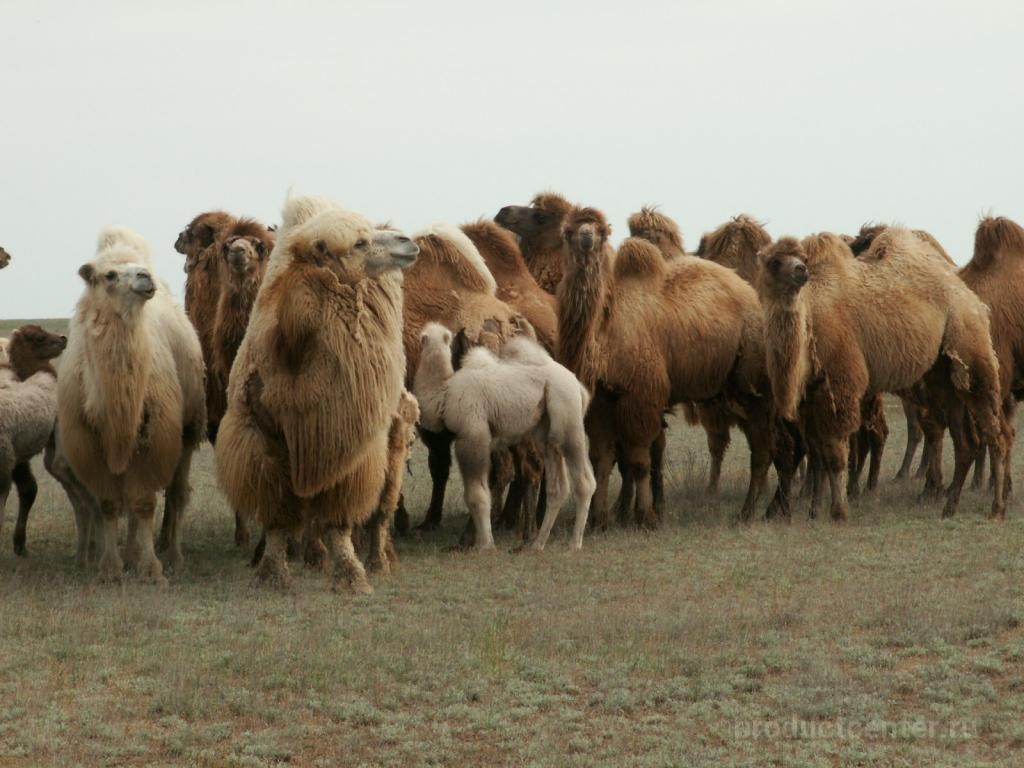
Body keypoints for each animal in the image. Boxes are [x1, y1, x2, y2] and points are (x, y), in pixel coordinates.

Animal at [58, 228, 206, 581]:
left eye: (140, 269)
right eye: (109, 275)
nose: (144, 277)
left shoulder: (157, 437)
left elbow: (144, 504)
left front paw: (151, 568)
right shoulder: (88, 444)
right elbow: (109, 505)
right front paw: (110, 567)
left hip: (187, 430)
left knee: (176, 494)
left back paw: (174, 557)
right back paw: (128, 556)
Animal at [214, 195, 417, 593]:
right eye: (359, 242)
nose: (407, 241)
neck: (294, 346)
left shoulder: (343, 438)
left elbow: (339, 516)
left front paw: (352, 577)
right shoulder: (264, 437)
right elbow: (277, 513)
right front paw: (271, 574)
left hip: (392, 440)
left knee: (382, 508)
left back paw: (379, 561)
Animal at [411, 325, 598, 552]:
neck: (444, 394)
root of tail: (578, 387)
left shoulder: (472, 435)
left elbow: (475, 494)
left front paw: (485, 545)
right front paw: (484, 542)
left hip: (568, 417)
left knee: (585, 481)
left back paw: (574, 543)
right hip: (546, 432)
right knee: (558, 487)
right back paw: (537, 544)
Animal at [561, 204, 774, 528]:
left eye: (601, 231)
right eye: (569, 231)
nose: (586, 238)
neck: (604, 336)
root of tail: (750, 293)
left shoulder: (642, 396)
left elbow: (639, 460)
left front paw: (646, 517)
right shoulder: (601, 400)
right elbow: (601, 458)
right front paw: (599, 519)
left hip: (752, 380)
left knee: (762, 447)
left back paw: (748, 512)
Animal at [757, 230, 1003, 524]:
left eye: (801, 258)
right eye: (774, 261)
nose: (800, 270)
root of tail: (971, 298)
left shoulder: (841, 383)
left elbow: (835, 454)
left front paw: (839, 512)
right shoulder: (808, 400)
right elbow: (817, 456)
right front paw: (814, 510)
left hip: (970, 343)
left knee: (994, 431)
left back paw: (996, 507)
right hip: (942, 374)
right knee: (965, 441)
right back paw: (949, 507)